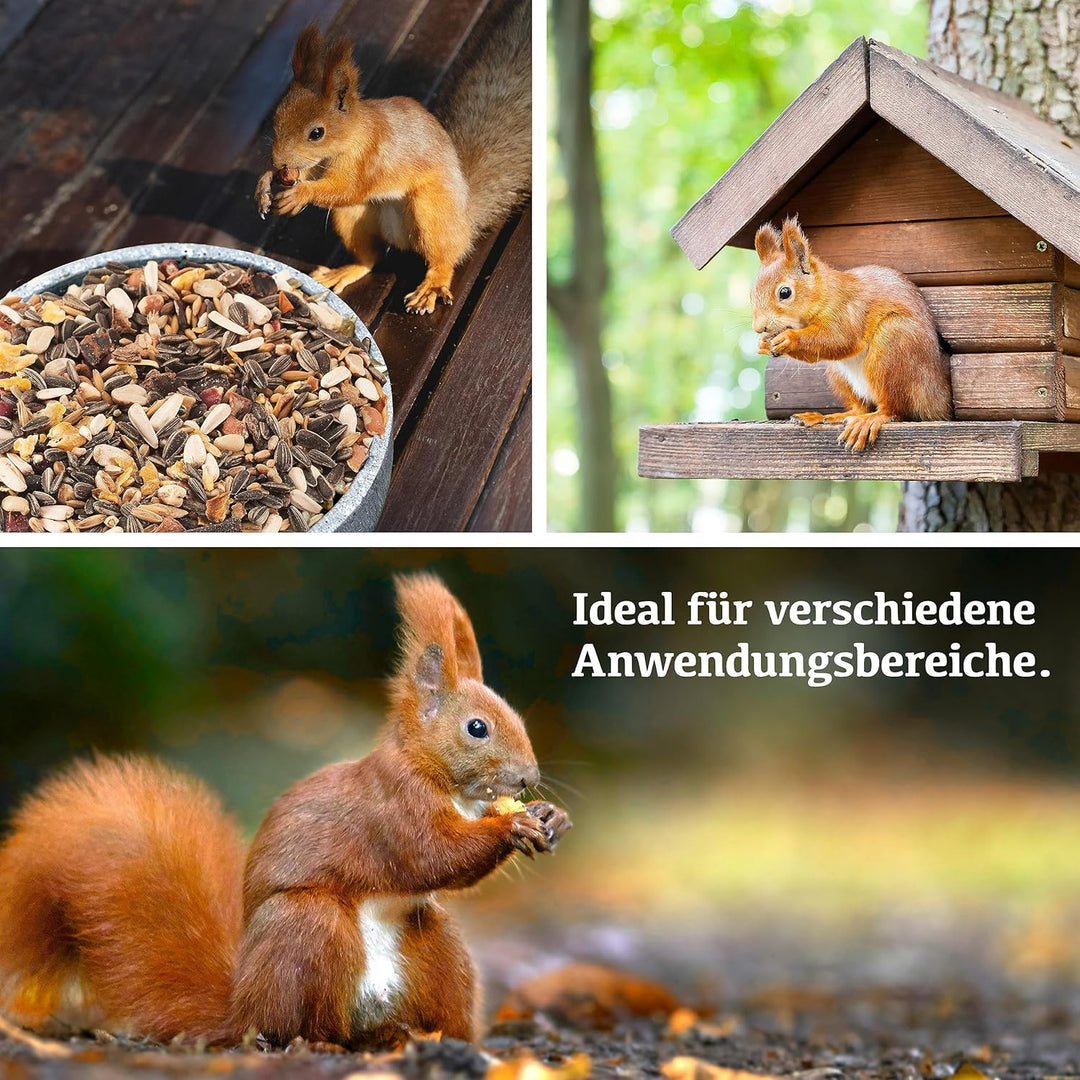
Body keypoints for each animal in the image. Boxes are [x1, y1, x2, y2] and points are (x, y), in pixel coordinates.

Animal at [0, 574, 570, 1049]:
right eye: (477, 728)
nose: (528, 778)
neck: (446, 784)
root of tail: (240, 1011)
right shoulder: (392, 807)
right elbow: (432, 854)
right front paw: (513, 824)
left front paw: (551, 817)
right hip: (307, 929)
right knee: (305, 1026)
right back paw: (331, 1041)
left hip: (435, 945)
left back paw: (431, 1039)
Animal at [255, 2, 531, 316]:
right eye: (276, 117)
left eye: (316, 133)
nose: (279, 161)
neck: (351, 137)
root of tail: (465, 216)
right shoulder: (315, 165)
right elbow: (308, 175)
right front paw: (266, 182)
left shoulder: (370, 156)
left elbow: (349, 188)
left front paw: (300, 194)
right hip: (352, 218)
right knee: (369, 259)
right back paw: (345, 270)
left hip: (432, 211)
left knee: (445, 255)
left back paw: (432, 286)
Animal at [751, 217, 952, 451]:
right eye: (752, 293)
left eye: (785, 292)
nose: (759, 327)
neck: (825, 292)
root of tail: (935, 394)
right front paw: (764, 344)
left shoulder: (848, 310)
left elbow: (839, 339)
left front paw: (789, 338)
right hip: (839, 374)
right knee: (859, 407)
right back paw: (824, 417)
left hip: (893, 346)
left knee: (893, 409)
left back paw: (870, 420)